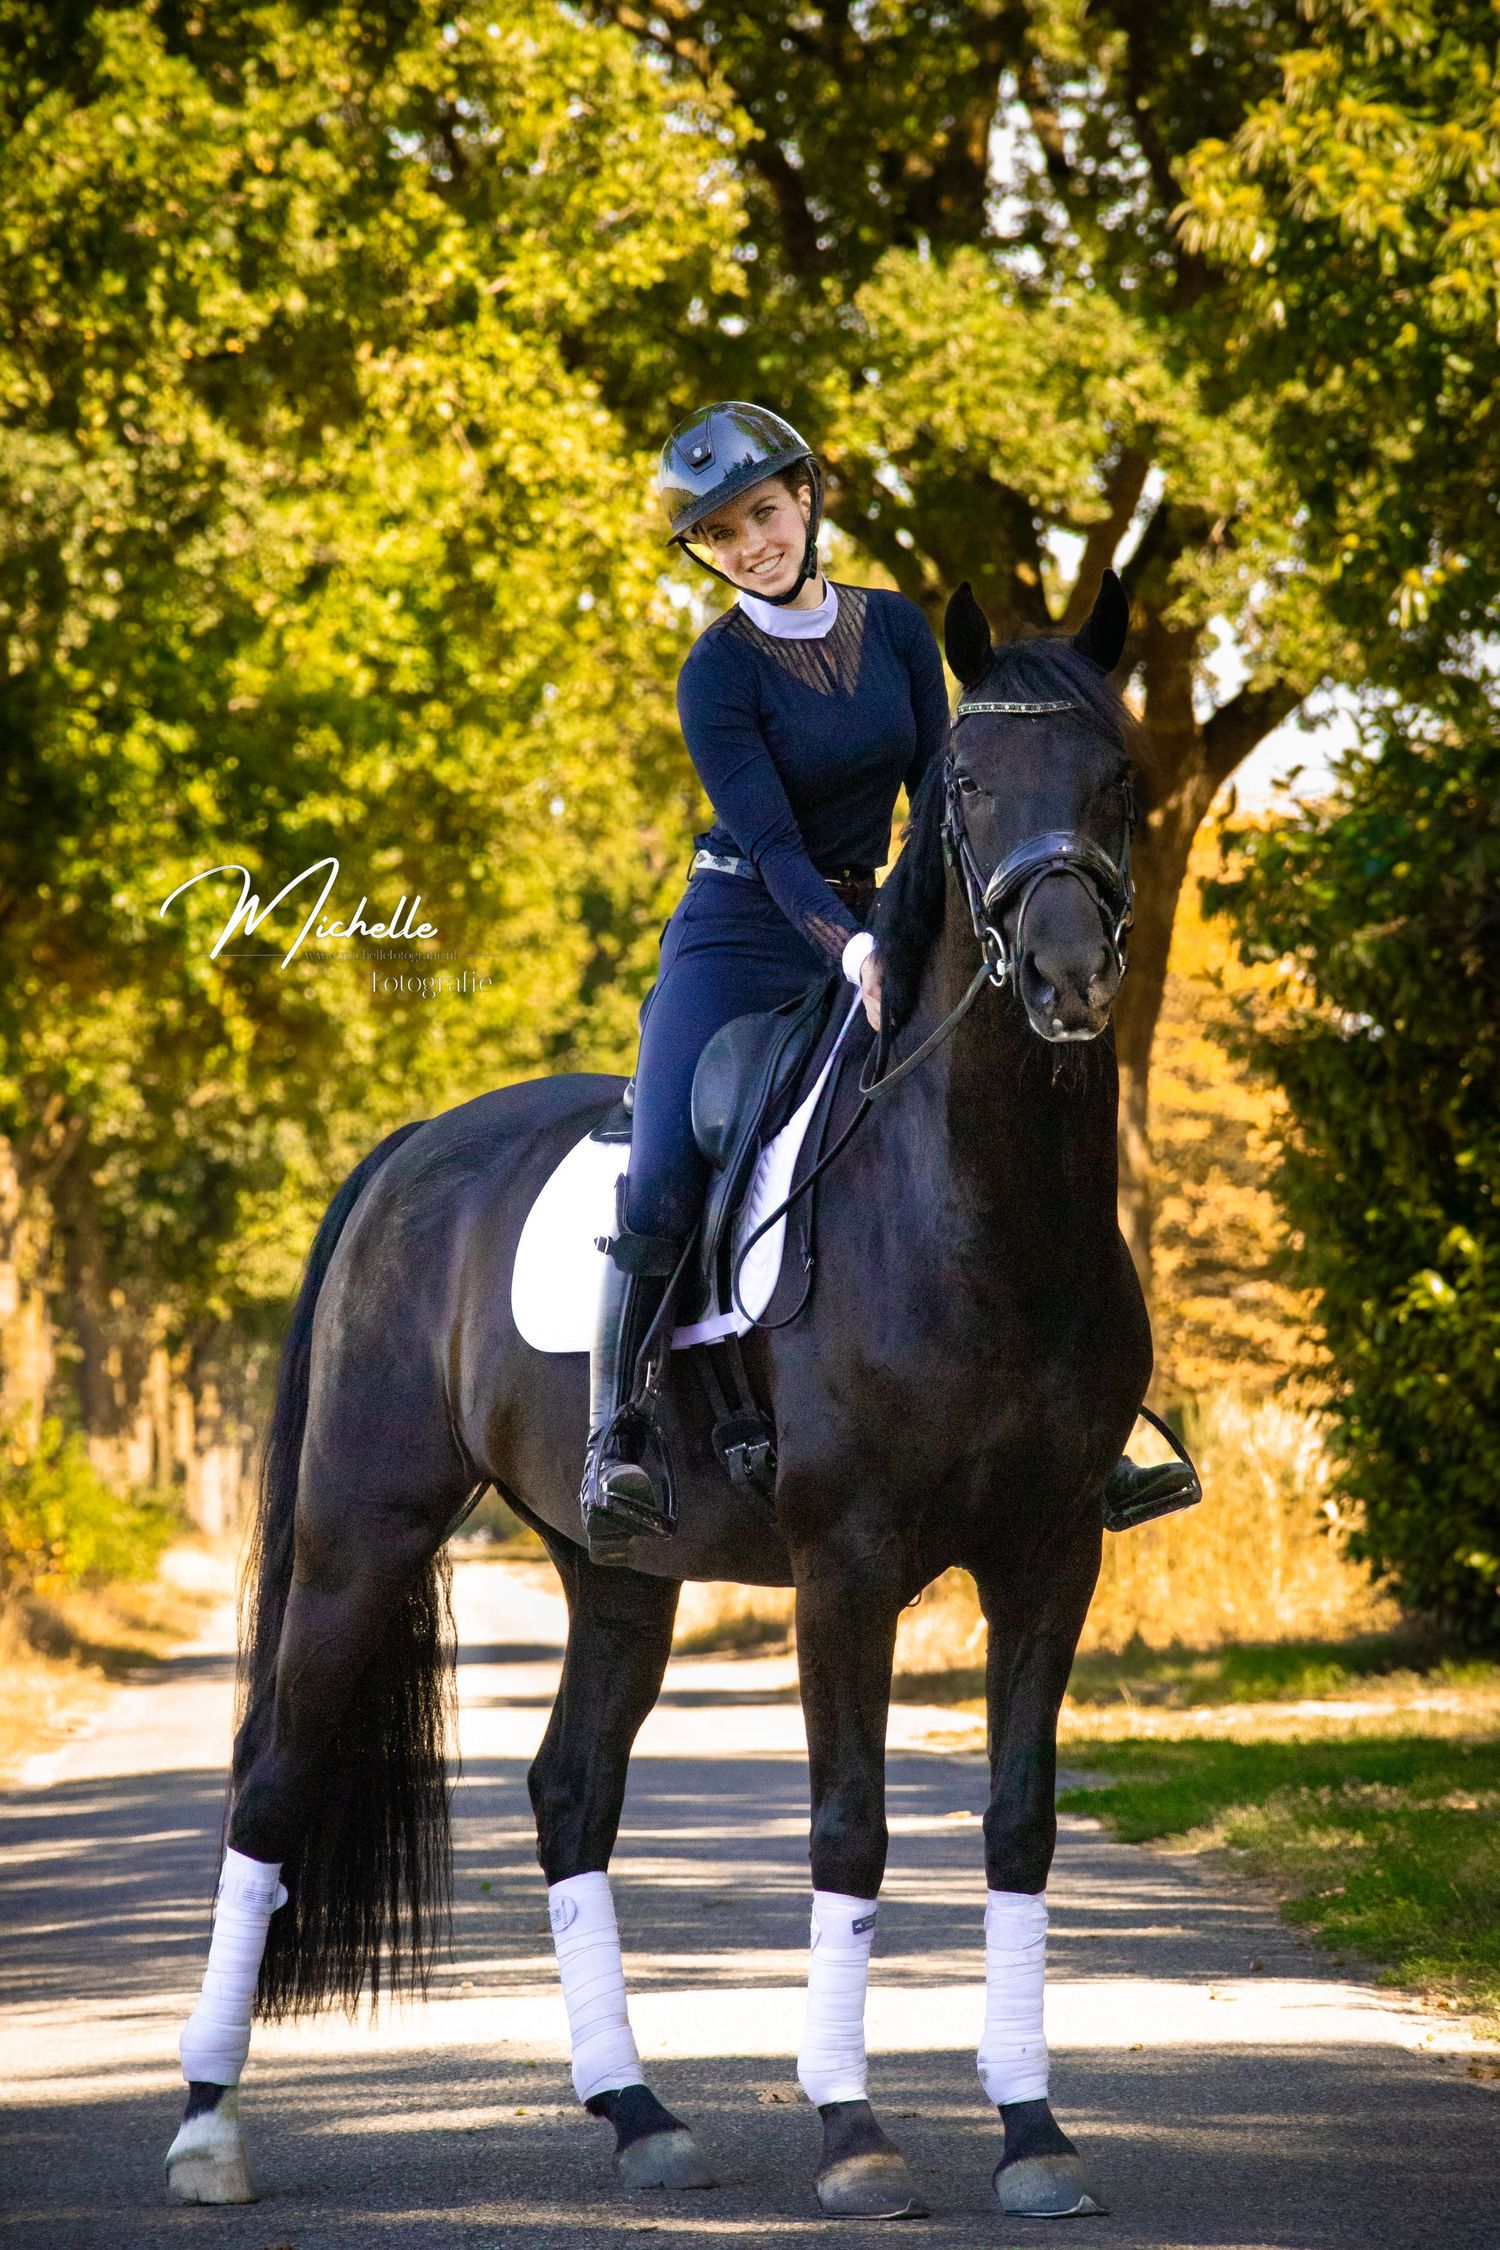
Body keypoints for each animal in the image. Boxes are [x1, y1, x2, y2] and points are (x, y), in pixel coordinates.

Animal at [166, 571, 1151, 2223]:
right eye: (963, 784)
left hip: (617, 1564)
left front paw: (1035, 2134)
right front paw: (855, 2136)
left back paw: (638, 2114)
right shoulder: (847, 1565)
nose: (1068, 978)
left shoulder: (1049, 1556)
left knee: (569, 1792)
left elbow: (1018, 1823)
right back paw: (204, 2127)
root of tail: (415, 1143)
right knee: (271, 1789)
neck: (982, 1214)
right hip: (361, 1531)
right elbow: (850, 1826)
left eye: (1123, 775)